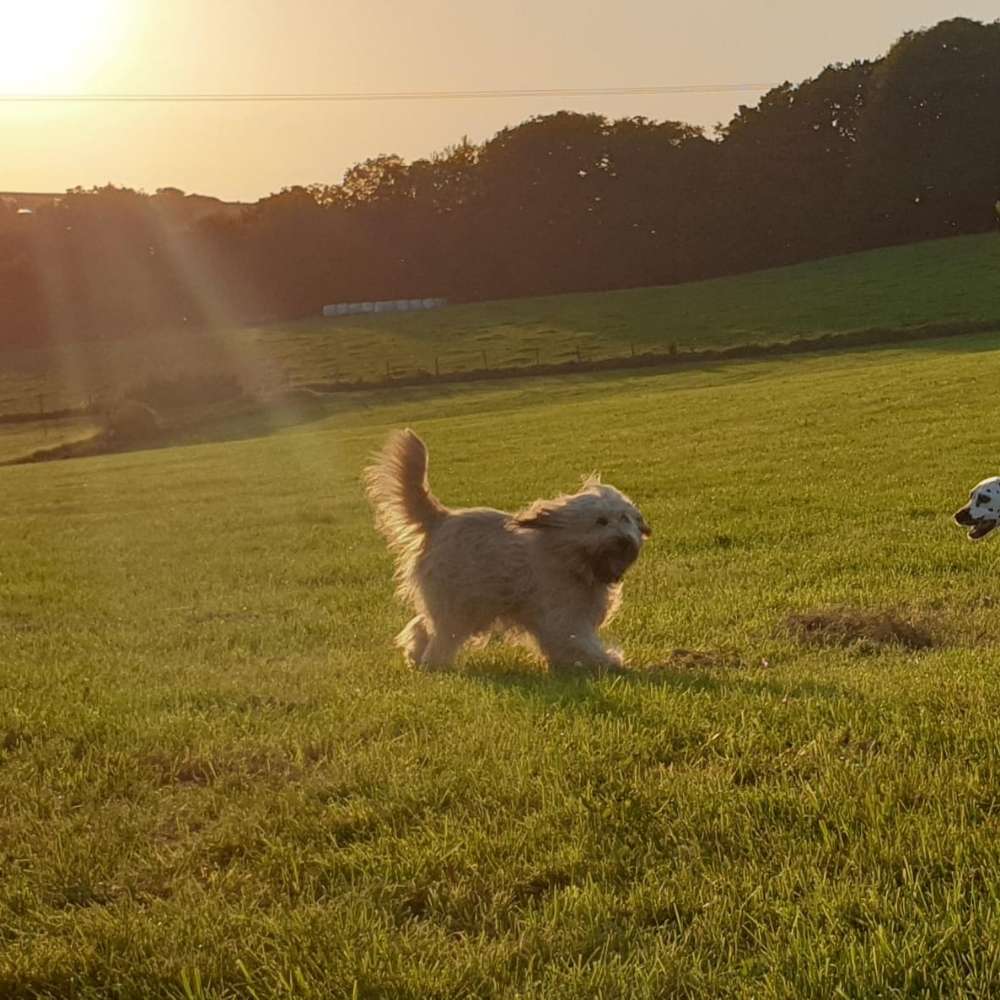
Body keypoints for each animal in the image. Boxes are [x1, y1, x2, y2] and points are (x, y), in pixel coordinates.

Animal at [364, 430, 652, 672]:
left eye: (626, 518)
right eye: (601, 521)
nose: (624, 540)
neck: (573, 559)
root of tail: (440, 518)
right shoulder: (562, 617)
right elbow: (578, 641)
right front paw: (609, 660)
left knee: (422, 626)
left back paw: (416, 656)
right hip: (460, 604)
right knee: (441, 637)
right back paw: (436, 665)